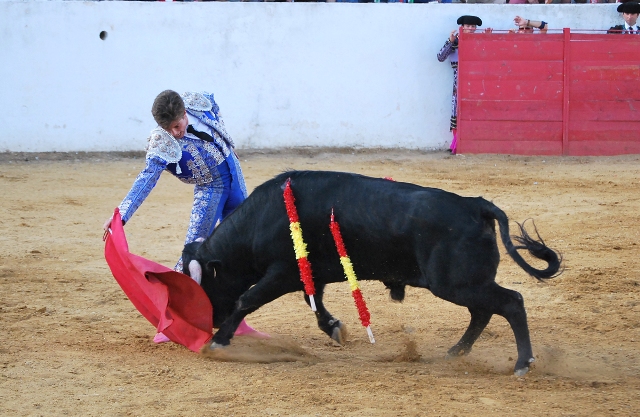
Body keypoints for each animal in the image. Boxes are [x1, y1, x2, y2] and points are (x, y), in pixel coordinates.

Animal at [184, 169, 560, 374]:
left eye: (205, 286)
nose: (210, 322)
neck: (263, 218)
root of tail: (475, 204)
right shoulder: (308, 275)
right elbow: (314, 304)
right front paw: (335, 328)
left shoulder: (282, 273)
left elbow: (247, 299)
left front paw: (218, 343)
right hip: (464, 282)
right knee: (483, 311)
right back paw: (456, 352)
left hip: (456, 282)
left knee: (510, 302)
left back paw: (522, 363)